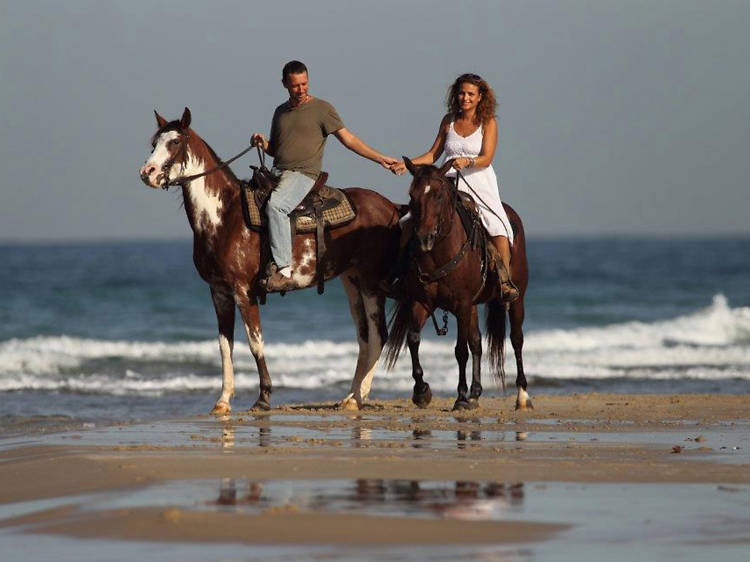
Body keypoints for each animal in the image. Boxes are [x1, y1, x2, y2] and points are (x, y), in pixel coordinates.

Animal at [139, 107, 402, 412]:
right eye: (154, 143)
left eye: (175, 141)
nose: (147, 173)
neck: (225, 216)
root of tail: (392, 207)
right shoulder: (219, 292)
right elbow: (224, 345)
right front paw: (223, 401)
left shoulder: (243, 291)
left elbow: (255, 343)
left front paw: (263, 397)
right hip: (352, 281)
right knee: (364, 337)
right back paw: (350, 396)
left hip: (372, 282)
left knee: (379, 334)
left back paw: (358, 397)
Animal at [384, 159, 532, 412]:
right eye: (412, 195)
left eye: (438, 195)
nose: (423, 238)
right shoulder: (421, 302)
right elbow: (413, 340)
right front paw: (421, 392)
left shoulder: (461, 305)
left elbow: (460, 350)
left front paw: (460, 396)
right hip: (472, 307)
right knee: (477, 343)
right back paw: (475, 393)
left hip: (516, 299)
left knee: (516, 339)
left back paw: (522, 396)